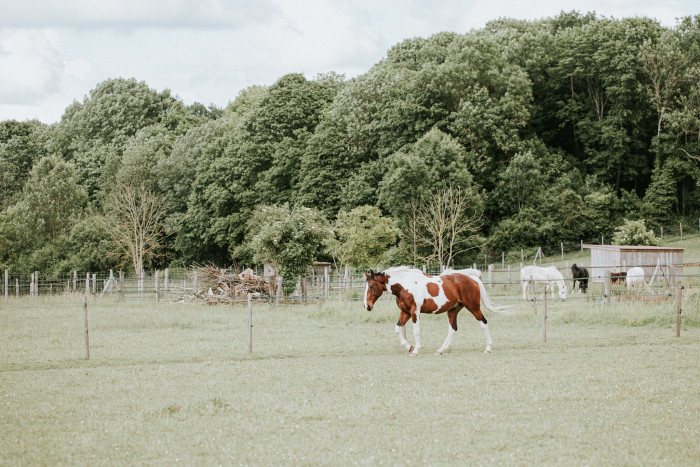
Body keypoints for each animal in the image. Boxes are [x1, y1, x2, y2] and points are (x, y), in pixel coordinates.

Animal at [366, 266, 508, 354]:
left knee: (483, 323)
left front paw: (415, 350)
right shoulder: (405, 312)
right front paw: (409, 347)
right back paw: (440, 350)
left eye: (372, 286)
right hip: (453, 310)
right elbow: (397, 329)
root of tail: (472, 278)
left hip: (473, 307)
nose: (367, 306)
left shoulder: (414, 312)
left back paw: (488, 348)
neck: (406, 285)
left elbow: (416, 331)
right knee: (453, 329)